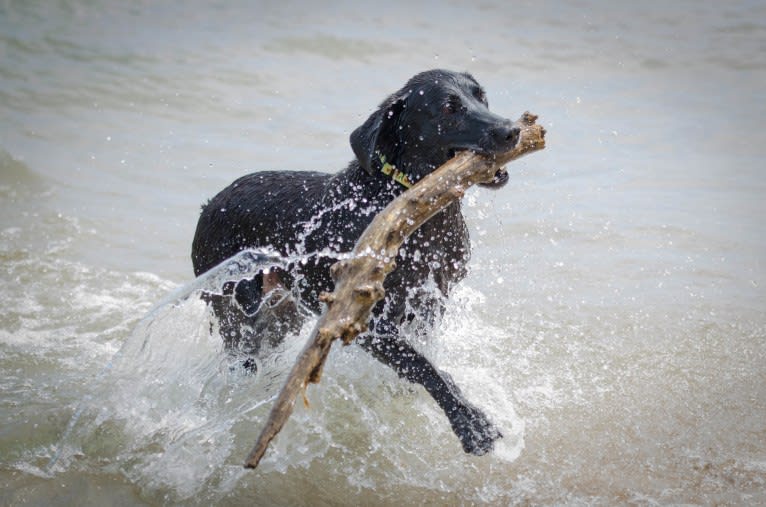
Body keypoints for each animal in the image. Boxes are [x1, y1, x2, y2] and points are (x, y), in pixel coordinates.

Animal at [194, 68, 520, 456]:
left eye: (481, 96)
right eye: (448, 108)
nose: (512, 130)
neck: (414, 206)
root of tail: (210, 204)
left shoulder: (431, 302)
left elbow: (424, 358)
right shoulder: (367, 320)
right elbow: (424, 366)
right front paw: (470, 423)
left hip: (281, 314)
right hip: (236, 312)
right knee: (241, 356)